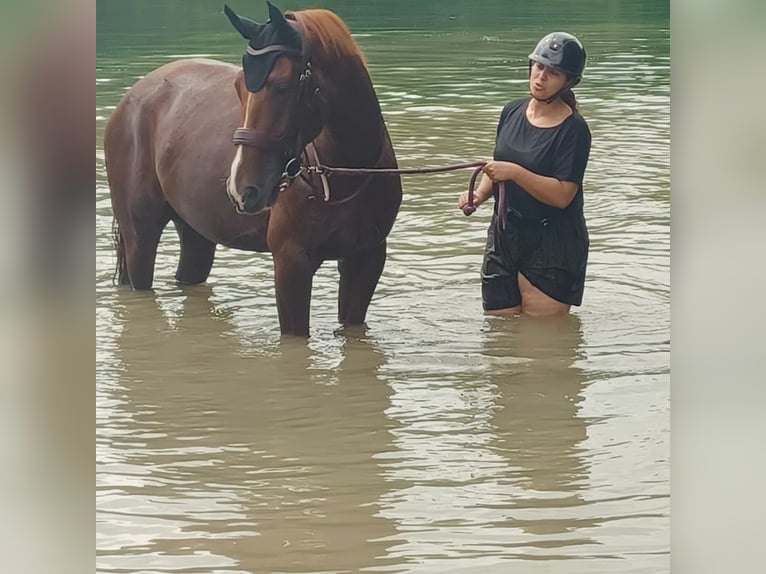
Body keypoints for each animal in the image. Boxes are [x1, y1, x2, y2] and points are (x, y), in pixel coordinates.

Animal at [104, 2, 402, 337]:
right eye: (238, 86)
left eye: (281, 86)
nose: (241, 188)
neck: (343, 177)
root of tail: (132, 98)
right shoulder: (291, 262)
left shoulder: (366, 260)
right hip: (139, 235)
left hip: (195, 231)